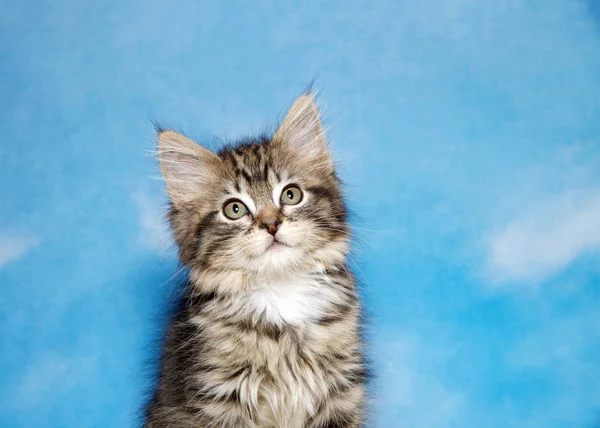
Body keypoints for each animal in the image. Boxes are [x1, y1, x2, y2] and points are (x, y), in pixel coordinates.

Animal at [145, 93, 368, 428]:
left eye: (291, 195)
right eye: (234, 209)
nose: (271, 224)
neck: (281, 291)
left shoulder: (339, 391)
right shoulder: (219, 396)